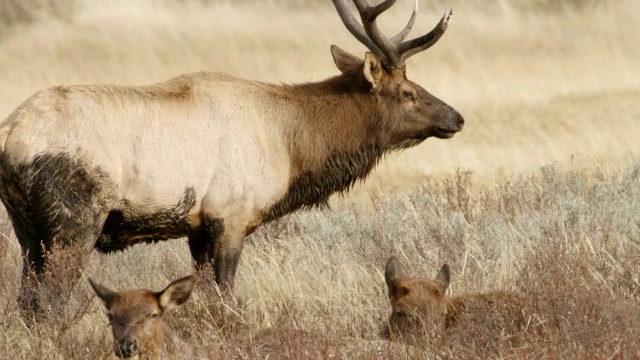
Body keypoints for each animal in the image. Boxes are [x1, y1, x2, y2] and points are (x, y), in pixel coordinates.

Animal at [0, 0, 462, 316]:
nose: (456, 116)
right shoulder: (231, 215)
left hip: (27, 229)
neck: (291, 147)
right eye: (408, 92)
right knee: (50, 301)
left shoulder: (197, 226)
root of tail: (10, 136)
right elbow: (226, 297)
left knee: (27, 301)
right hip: (74, 221)